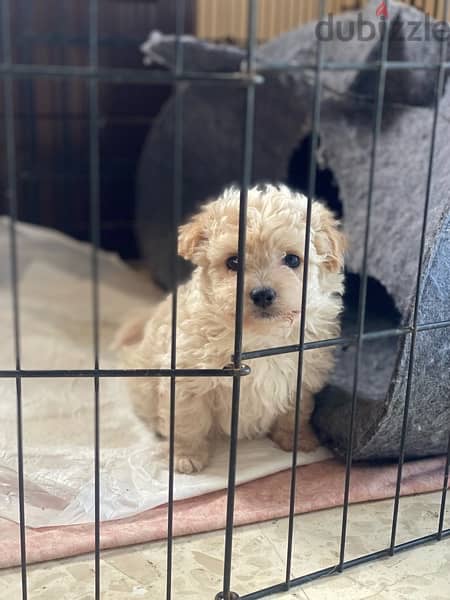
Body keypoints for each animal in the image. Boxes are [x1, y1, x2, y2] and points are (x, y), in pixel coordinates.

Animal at [119, 184, 344, 474]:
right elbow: (188, 422)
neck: (258, 340)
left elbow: (296, 412)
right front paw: (186, 455)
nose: (262, 294)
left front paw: (297, 440)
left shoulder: (301, 377)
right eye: (233, 262)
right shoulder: (187, 380)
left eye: (293, 260)